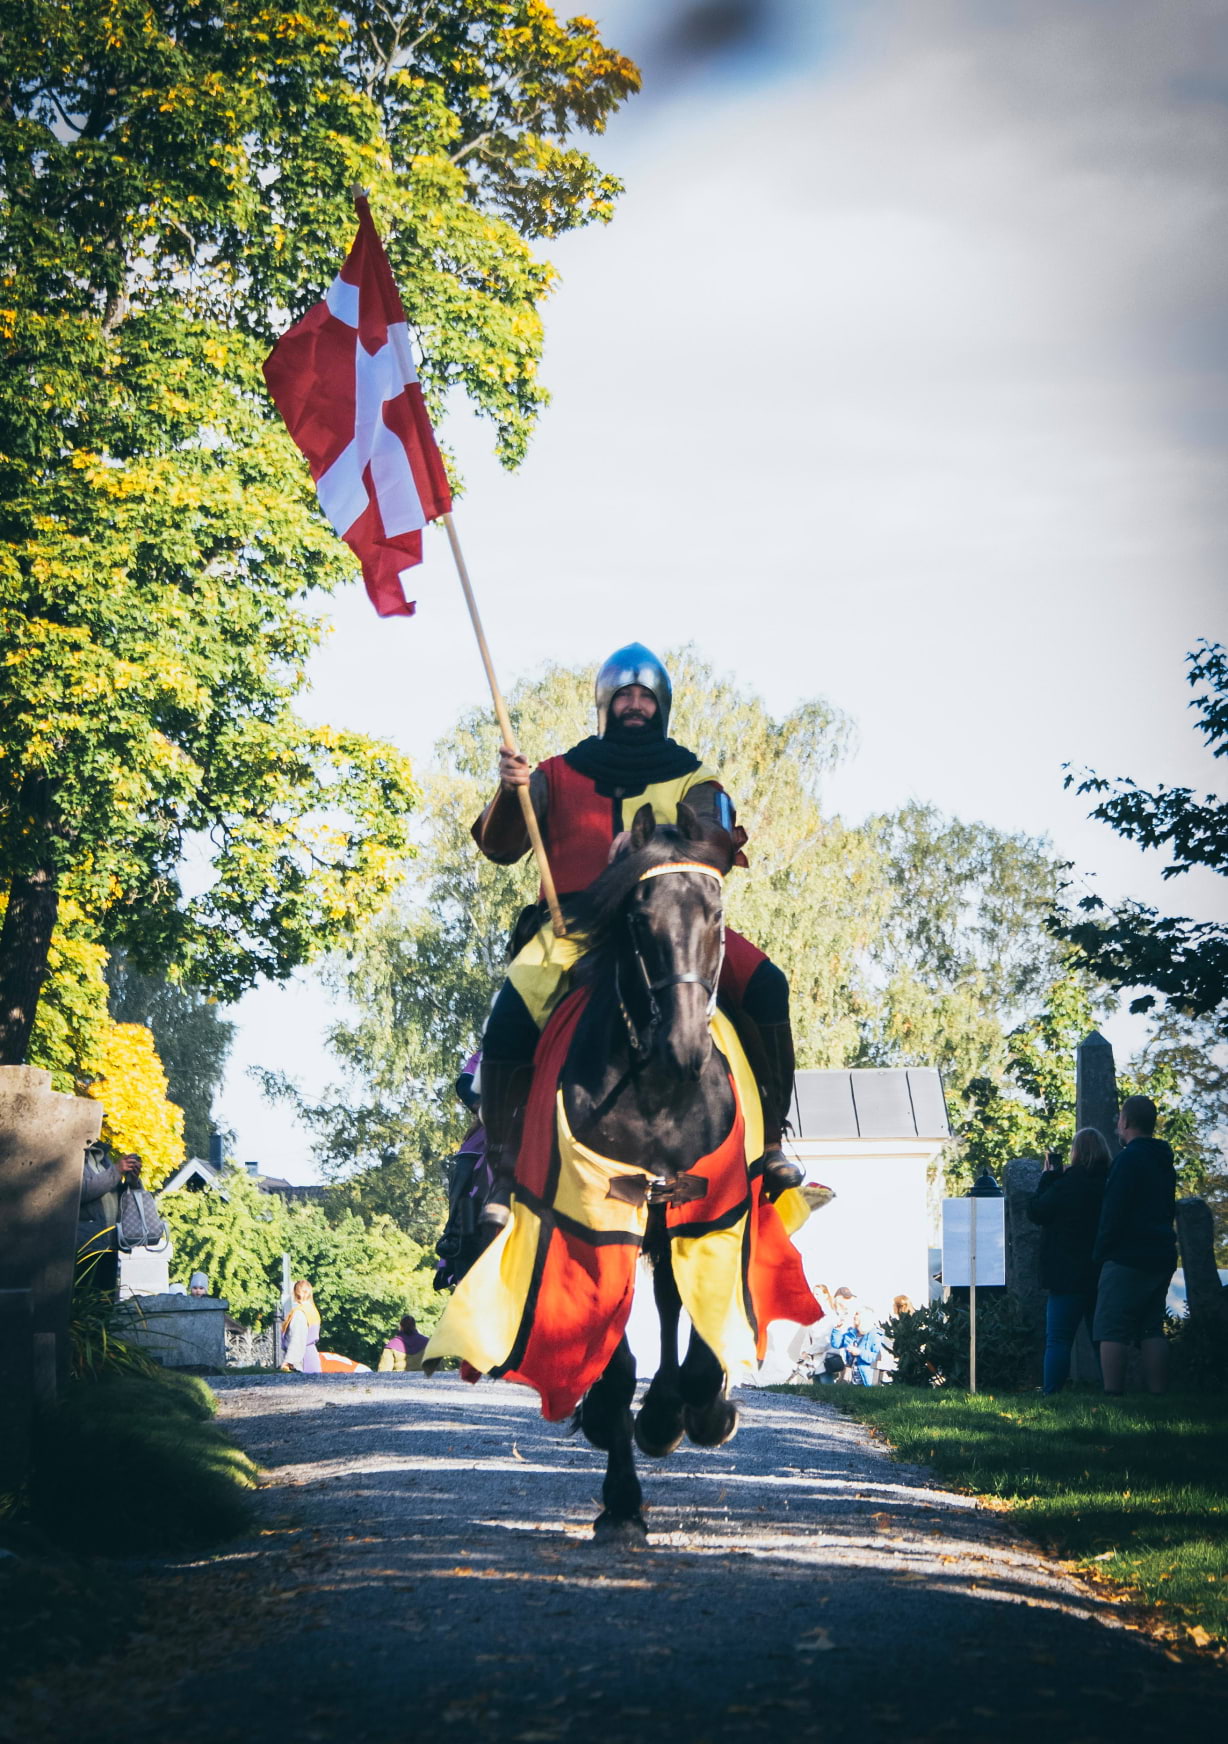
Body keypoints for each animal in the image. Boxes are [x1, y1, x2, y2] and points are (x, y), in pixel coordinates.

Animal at [558, 802, 746, 1541]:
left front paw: (694, 1403)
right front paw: (621, 1499)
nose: (685, 1045)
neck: (658, 1091)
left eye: (717, 915)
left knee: (670, 1297)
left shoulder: (703, 1201)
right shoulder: (595, 1210)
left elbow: (687, 1303)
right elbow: (615, 1346)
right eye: (639, 919)